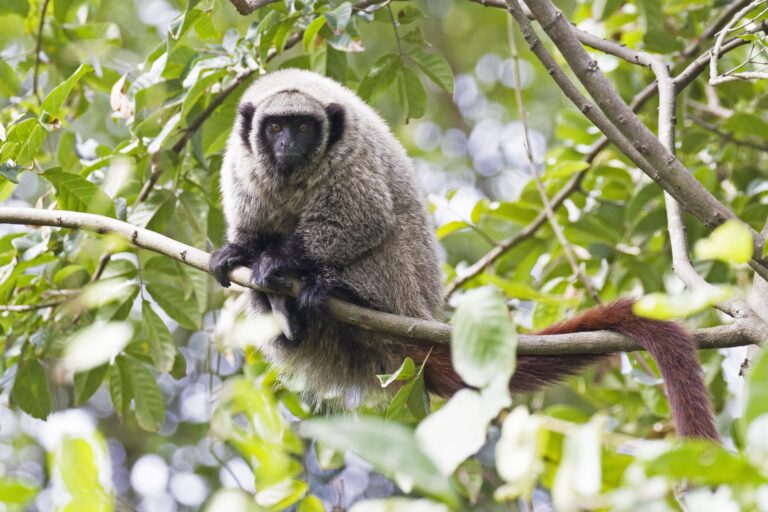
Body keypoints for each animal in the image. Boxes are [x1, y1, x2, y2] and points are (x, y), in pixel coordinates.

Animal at [210, 69, 718, 440]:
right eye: (275, 126)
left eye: (302, 126)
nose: (286, 144)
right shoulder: (240, 163)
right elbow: (252, 229)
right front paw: (241, 251)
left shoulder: (349, 159)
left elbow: (363, 220)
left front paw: (280, 262)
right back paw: (285, 317)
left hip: (399, 289)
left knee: (387, 232)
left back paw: (333, 292)